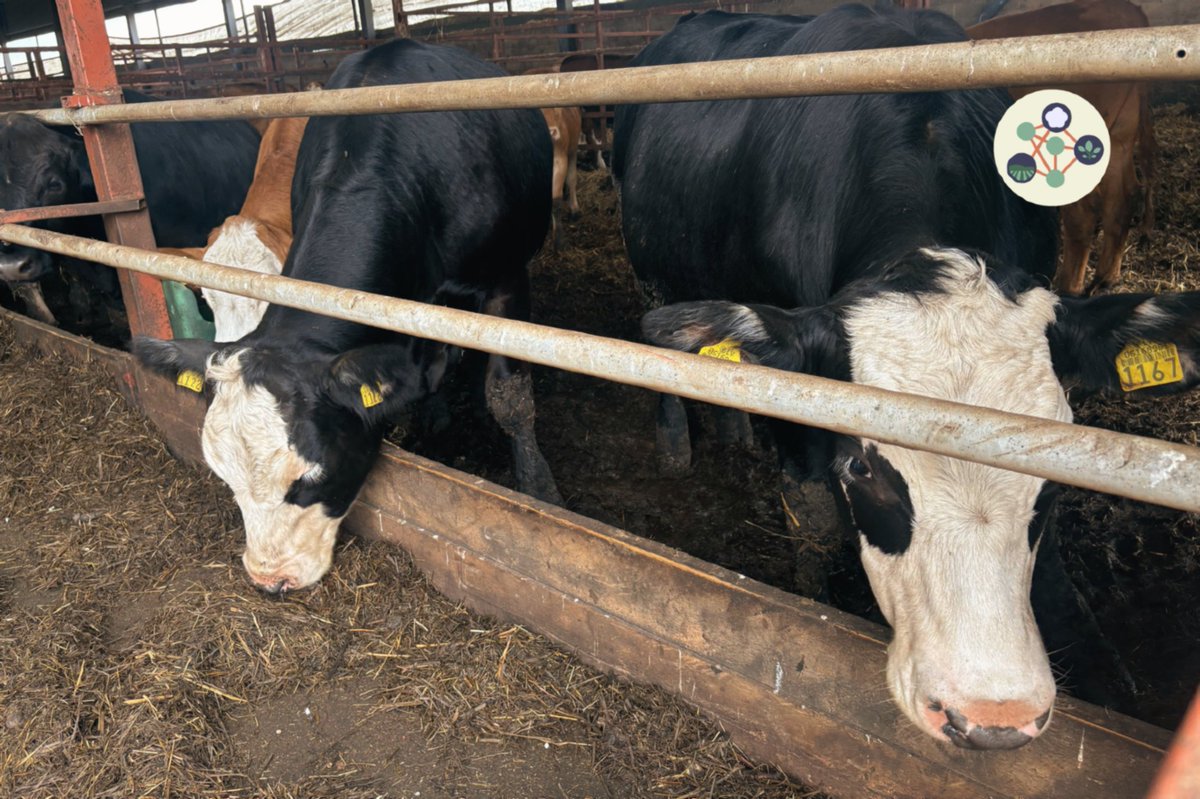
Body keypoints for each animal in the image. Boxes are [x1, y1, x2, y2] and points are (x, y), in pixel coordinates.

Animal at [132, 39, 561, 595]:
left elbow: (510, 398)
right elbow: (419, 374)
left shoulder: (507, 279)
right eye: (224, 477)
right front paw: (430, 422)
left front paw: (538, 488)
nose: (268, 579)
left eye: (311, 477)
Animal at [968, 0, 1157, 296]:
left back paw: (1068, 289)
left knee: (1083, 217)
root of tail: (1127, 10)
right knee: (1123, 198)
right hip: (1119, 137)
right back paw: (1106, 278)